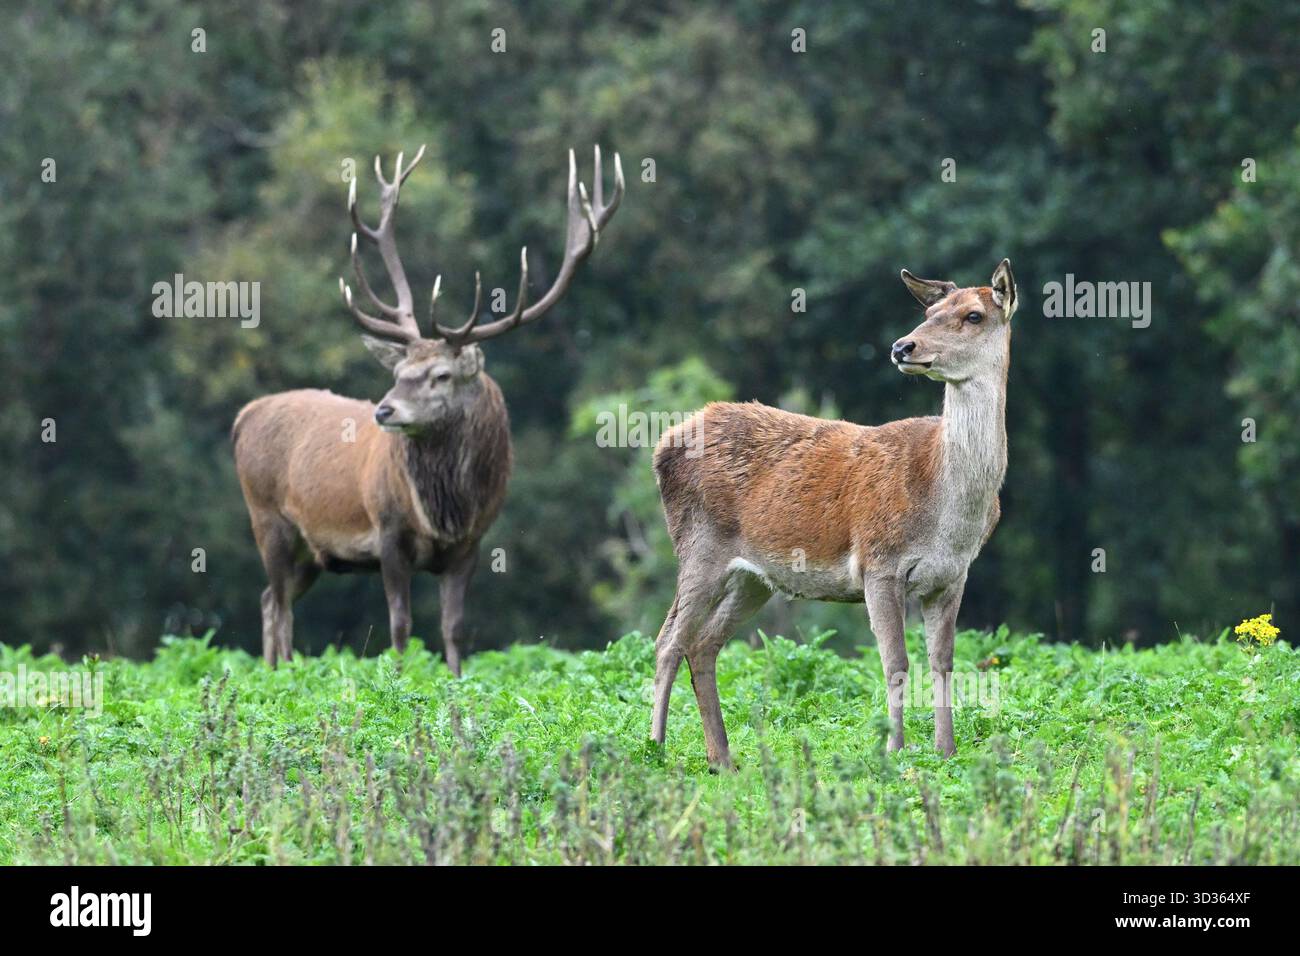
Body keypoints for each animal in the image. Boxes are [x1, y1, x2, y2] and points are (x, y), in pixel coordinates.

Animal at [233, 144, 623, 670]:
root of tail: (244, 416)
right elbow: (400, 626)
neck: (443, 513)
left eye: (441, 375)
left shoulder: (471, 544)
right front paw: (399, 680)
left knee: (269, 600)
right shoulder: (387, 531)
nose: (384, 411)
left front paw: (455, 683)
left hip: (312, 553)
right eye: (398, 373)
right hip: (267, 516)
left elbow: (454, 628)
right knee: (278, 605)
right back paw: (282, 675)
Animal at [650, 260, 1017, 768]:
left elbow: (942, 662)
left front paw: (946, 752)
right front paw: (893, 751)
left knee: (702, 645)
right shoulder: (879, 563)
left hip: (753, 577)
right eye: (930, 311)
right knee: (668, 641)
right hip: (698, 545)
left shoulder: (953, 575)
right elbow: (896, 662)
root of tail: (663, 444)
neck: (947, 509)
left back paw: (722, 758)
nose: (903, 346)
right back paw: (655, 748)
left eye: (974, 315)